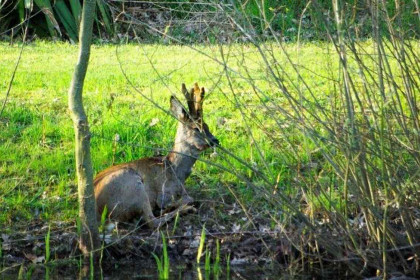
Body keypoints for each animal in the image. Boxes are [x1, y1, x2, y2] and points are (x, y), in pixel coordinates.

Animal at [93, 82, 218, 228]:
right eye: (196, 128)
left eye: (207, 126)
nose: (215, 140)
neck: (175, 169)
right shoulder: (165, 193)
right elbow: (187, 198)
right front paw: (173, 205)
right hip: (134, 186)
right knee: (152, 222)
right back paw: (183, 209)